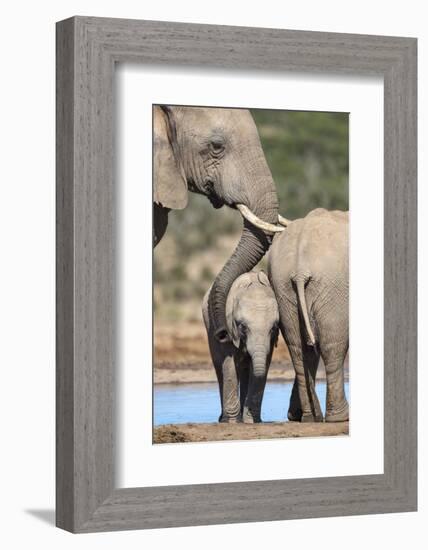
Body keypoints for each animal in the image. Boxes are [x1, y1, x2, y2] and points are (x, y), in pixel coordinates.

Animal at [202, 274, 280, 424]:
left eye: (273, 328)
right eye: (243, 327)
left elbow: (260, 366)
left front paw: (251, 420)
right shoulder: (228, 327)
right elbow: (229, 364)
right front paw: (233, 421)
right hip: (209, 326)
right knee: (219, 367)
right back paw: (224, 419)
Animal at [270, 209, 350, 424]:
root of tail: (300, 268)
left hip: (283, 288)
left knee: (298, 349)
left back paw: (309, 417)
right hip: (333, 288)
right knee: (333, 347)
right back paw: (339, 417)